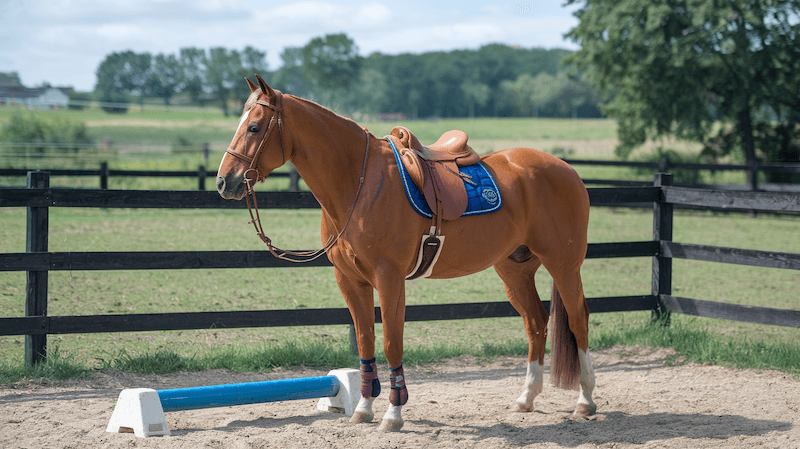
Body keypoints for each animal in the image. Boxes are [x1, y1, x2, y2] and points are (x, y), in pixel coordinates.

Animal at [217, 76, 592, 430]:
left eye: (254, 127)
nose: (224, 181)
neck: (358, 183)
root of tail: (566, 169)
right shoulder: (350, 281)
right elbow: (366, 343)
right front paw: (364, 409)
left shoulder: (390, 279)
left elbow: (390, 344)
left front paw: (393, 415)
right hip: (515, 270)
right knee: (536, 323)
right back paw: (526, 398)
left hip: (564, 265)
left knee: (578, 319)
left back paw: (585, 401)